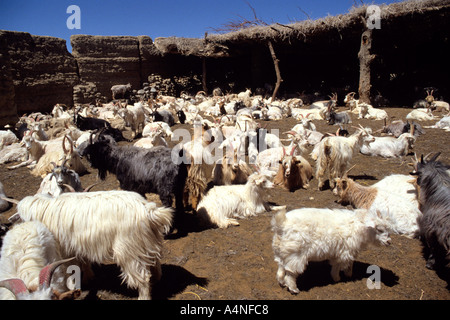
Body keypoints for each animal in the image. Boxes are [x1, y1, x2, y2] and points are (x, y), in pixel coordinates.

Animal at [11, 190, 172, 300]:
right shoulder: (78, 245)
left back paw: (143, 296)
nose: (12, 221)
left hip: (129, 249)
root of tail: (148, 210)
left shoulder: (64, 250)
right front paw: (88, 278)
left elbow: (69, 268)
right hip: (148, 242)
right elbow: (84, 262)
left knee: (143, 278)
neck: (44, 209)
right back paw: (157, 280)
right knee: (156, 263)